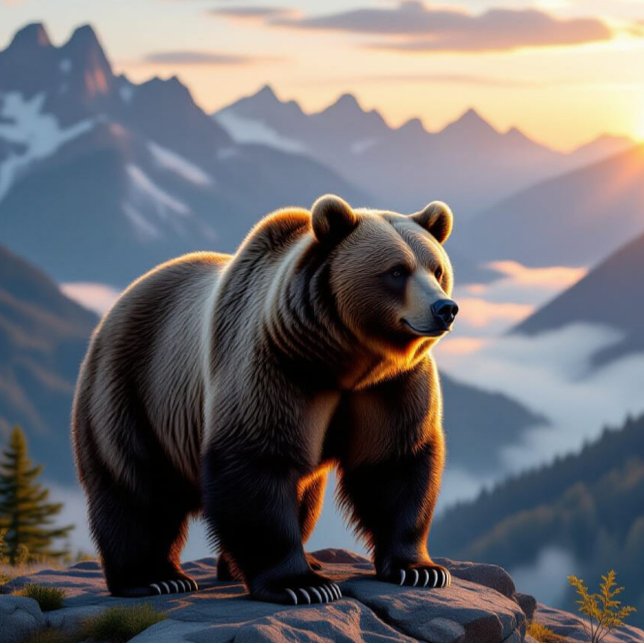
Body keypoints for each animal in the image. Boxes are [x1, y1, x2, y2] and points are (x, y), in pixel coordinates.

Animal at [71, 194, 459, 604]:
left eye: (436, 269)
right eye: (397, 271)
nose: (445, 308)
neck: (344, 360)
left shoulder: (390, 385)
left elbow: (395, 463)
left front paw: (420, 569)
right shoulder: (276, 365)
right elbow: (258, 461)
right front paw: (301, 585)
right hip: (131, 389)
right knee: (136, 488)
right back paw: (154, 578)